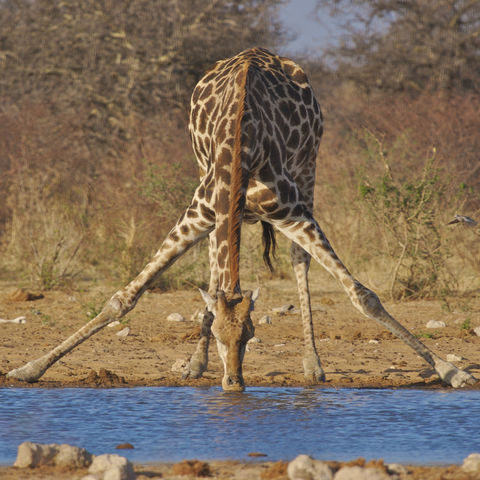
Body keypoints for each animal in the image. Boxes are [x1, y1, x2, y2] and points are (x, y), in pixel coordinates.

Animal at [7, 47, 476, 390]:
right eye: (219, 335)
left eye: (251, 334)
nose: (234, 383)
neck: (242, 145)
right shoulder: (201, 212)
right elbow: (125, 297)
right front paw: (29, 368)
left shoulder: (291, 211)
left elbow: (363, 295)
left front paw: (453, 371)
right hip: (213, 202)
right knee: (216, 272)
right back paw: (194, 366)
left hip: (309, 171)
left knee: (298, 261)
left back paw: (312, 365)